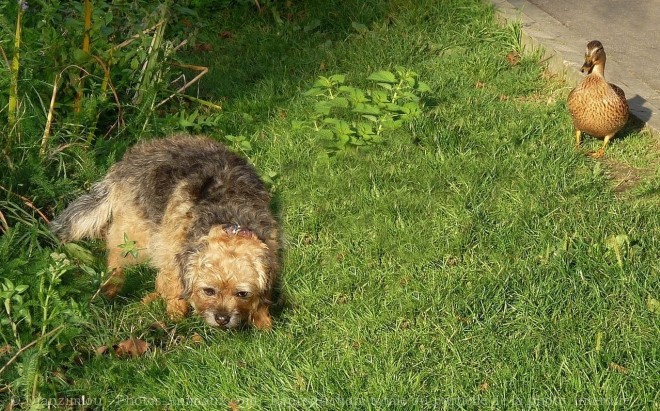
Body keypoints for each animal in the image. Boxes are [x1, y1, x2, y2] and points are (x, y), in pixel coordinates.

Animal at [51, 137, 278, 330]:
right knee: (117, 257)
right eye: (208, 291)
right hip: (136, 237)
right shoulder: (173, 251)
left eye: (242, 293)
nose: (222, 318)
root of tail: (125, 162)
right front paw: (175, 313)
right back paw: (112, 286)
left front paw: (262, 320)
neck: (229, 219)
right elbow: (173, 285)